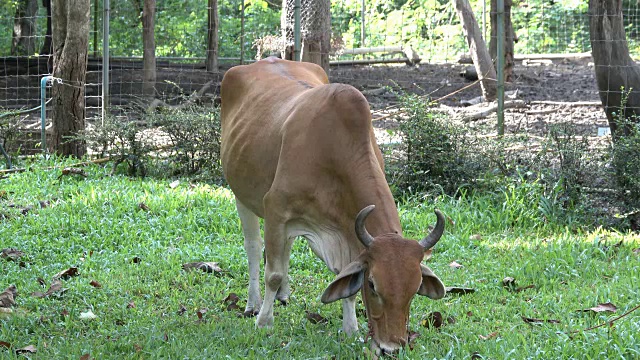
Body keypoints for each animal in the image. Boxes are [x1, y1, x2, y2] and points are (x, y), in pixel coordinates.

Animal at [220, 57, 444, 354]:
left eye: (415, 288)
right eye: (373, 285)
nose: (391, 348)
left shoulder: (346, 232)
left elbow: (344, 279)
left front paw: (351, 328)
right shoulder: (276, 209)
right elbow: (273, 274)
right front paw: (264, 323)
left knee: (283, 248)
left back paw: (283, 295)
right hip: (242, 194)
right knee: (255, 249)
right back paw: (253, 304)